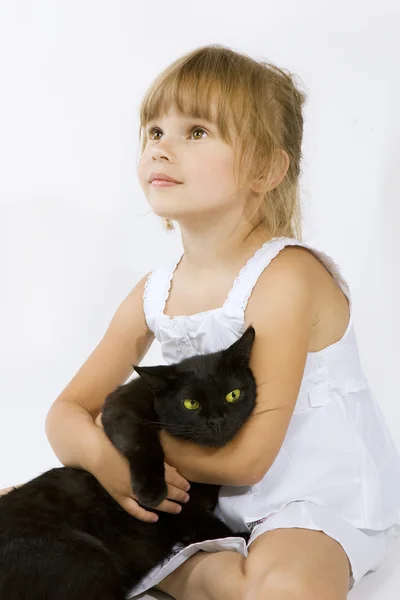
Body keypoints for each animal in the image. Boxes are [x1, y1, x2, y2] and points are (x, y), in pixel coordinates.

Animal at [0, 326, 256, 600]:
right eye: (190, 403)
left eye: (233, 395)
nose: (217, 421)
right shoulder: (123, 401)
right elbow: (140, 439)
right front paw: (152, 490)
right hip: (88, 559)